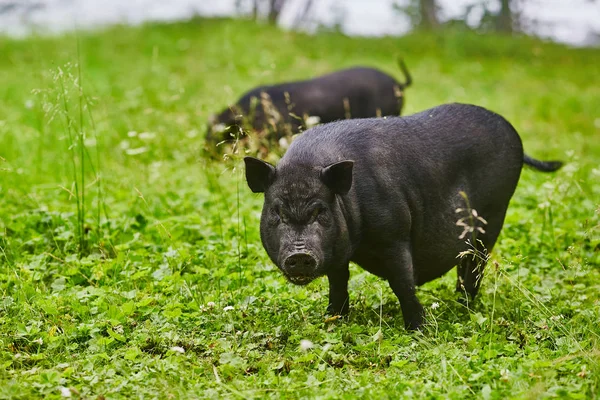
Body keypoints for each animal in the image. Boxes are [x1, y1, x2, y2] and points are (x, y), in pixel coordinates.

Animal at [244, 103, 564, 332]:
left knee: (475, 263)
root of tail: (513, 133)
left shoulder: (395, 233)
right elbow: (338, 282)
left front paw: (418, 331)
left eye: (320, 211)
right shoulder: (338, 251)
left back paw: (465, 307)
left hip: (494, 212)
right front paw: (332, 320)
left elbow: (402, 282)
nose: (300, 254)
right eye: (277, 212)